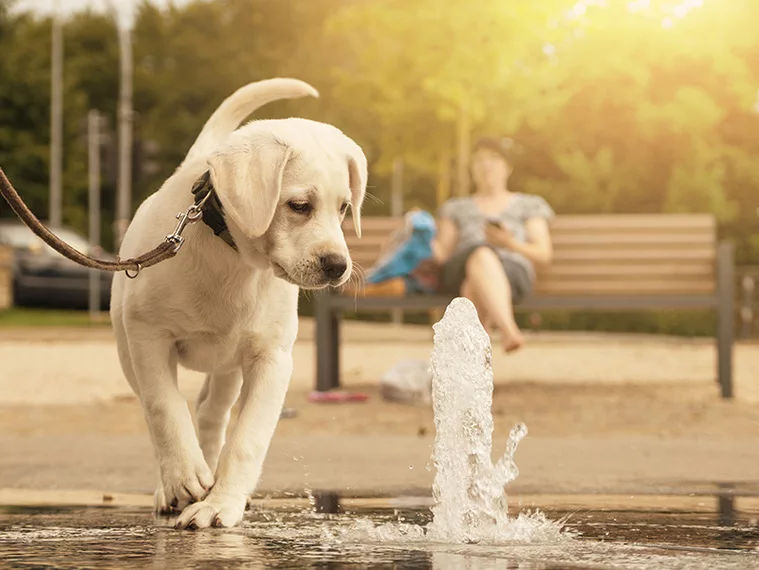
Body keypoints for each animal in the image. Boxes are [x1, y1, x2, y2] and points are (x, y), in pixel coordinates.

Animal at [109, 79, 366, 528]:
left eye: (345, 208)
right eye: (300, 206)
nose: (338, 265)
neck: (233, 260)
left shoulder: (272, 359)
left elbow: (248, 437)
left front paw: (219, 504)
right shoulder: (147, 337)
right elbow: (163, 408)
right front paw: (184, 475)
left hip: (228, 366)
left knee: (212, 413)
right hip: (129, 353)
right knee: (157, 410)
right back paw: (171, 486)